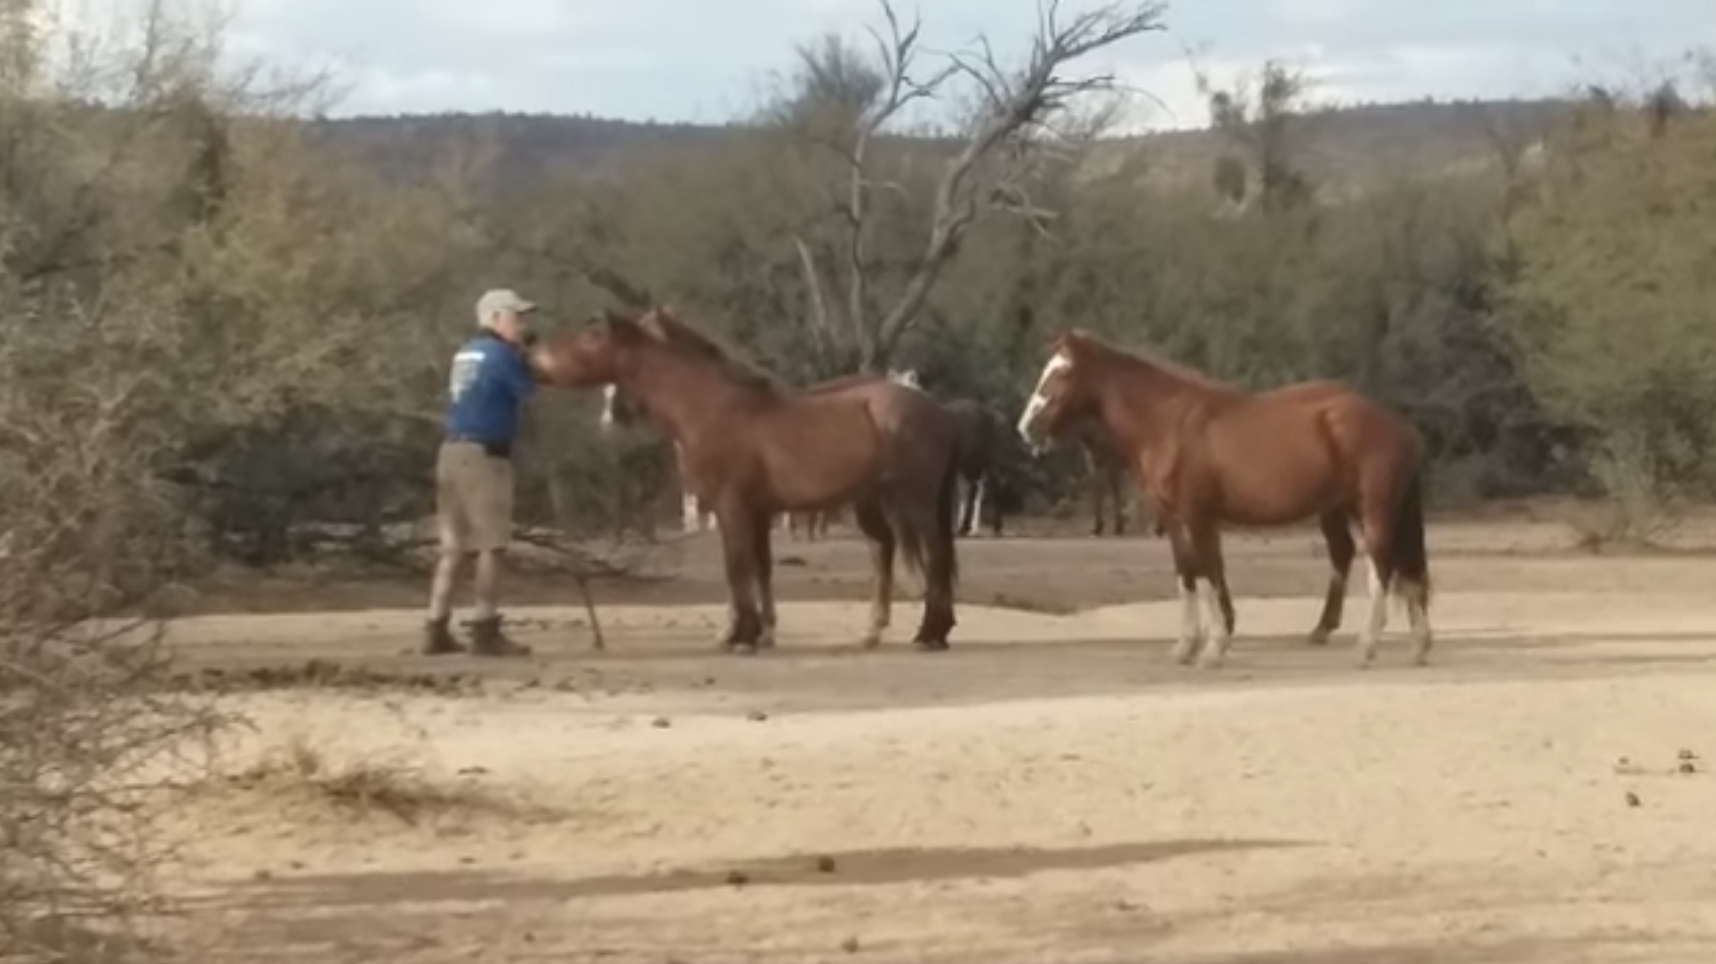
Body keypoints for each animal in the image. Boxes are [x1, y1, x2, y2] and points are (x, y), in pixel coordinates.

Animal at [534, 307, 963, 654]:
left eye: (592, 335)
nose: (535, 359)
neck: (711, 408)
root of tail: (939, 411)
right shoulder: (757, 512)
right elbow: (758, 568)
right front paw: (753, 632)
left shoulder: (732, 505)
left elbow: (736, 566)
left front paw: (741, 636)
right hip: (873, 502)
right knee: (890, 551)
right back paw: (892, 632)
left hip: (915, 499)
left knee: (935, 556)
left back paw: (930, 633)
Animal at [1015, 328, 1432, 669]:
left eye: (1061, 373)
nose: (1026, 428)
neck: (1167, 423)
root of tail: (1401, 427)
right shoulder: (1176, 521)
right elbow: (1189, 575)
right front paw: (1186, 646)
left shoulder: (1197, 516)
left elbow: (1208, 574)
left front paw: (1213, 648)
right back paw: (1416, 646)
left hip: (1373, 510)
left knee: (1381, 569)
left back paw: (1366, 646)